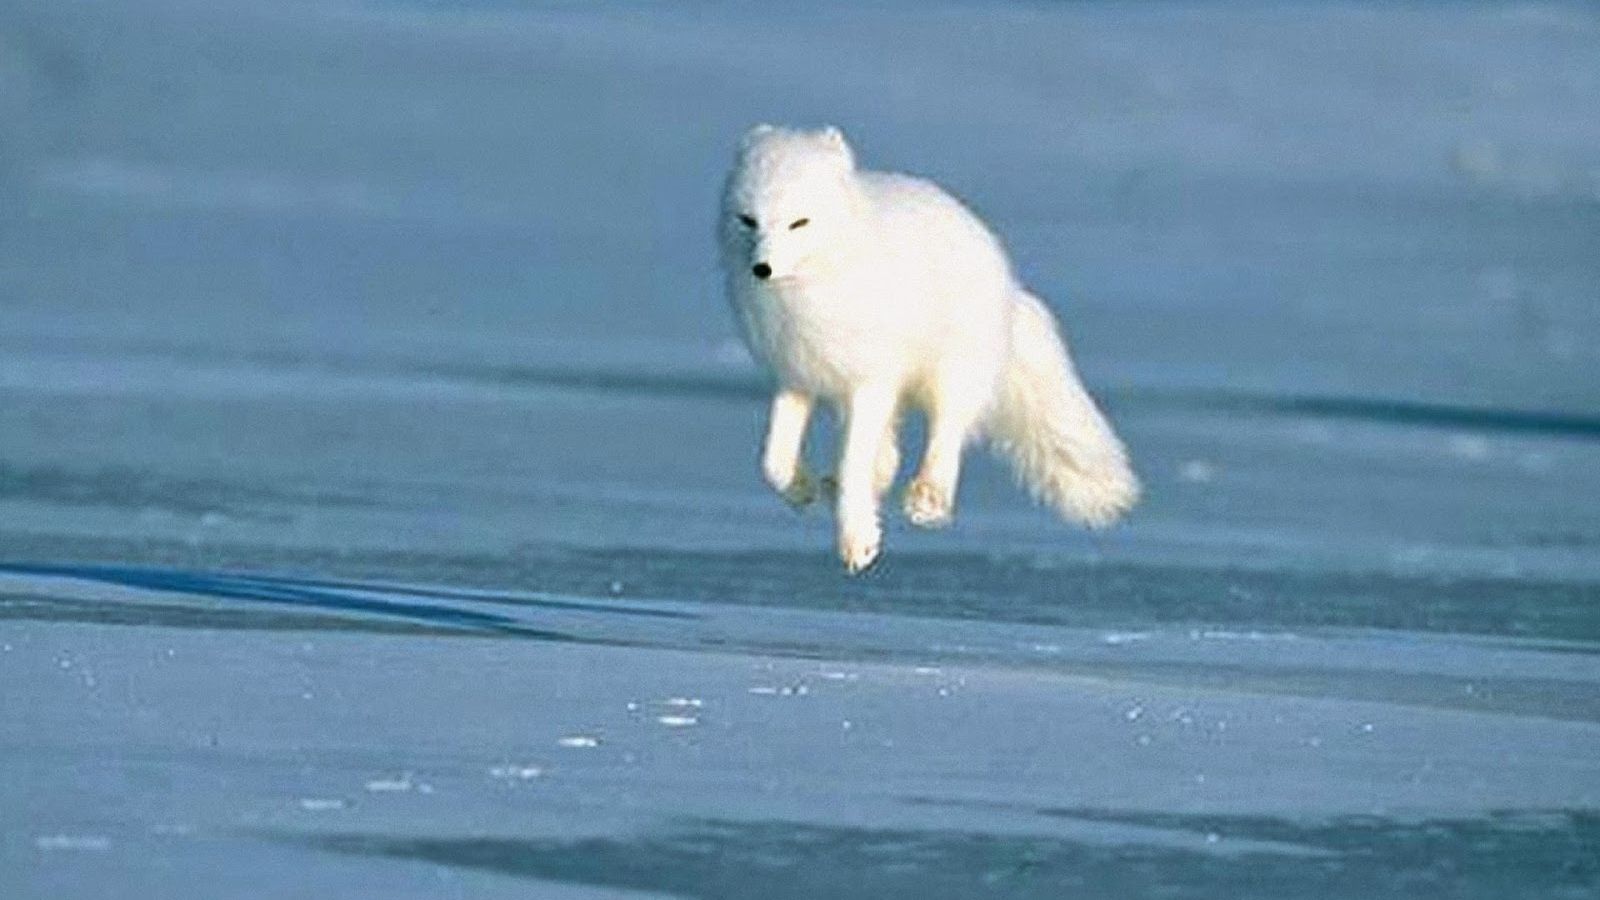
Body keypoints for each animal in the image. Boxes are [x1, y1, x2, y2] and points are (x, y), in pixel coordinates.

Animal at [718, 124, 1139, 574]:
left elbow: (854, 462)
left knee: (948, 429)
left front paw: (857, 540)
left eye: (799, 222)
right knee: (889, 451)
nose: (762, 268)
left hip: (952, 371)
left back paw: (928, 498)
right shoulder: (796, 374)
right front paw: (801, 489)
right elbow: (773, 461)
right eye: (748, 220)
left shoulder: (871, 381)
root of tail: (1008, 282)